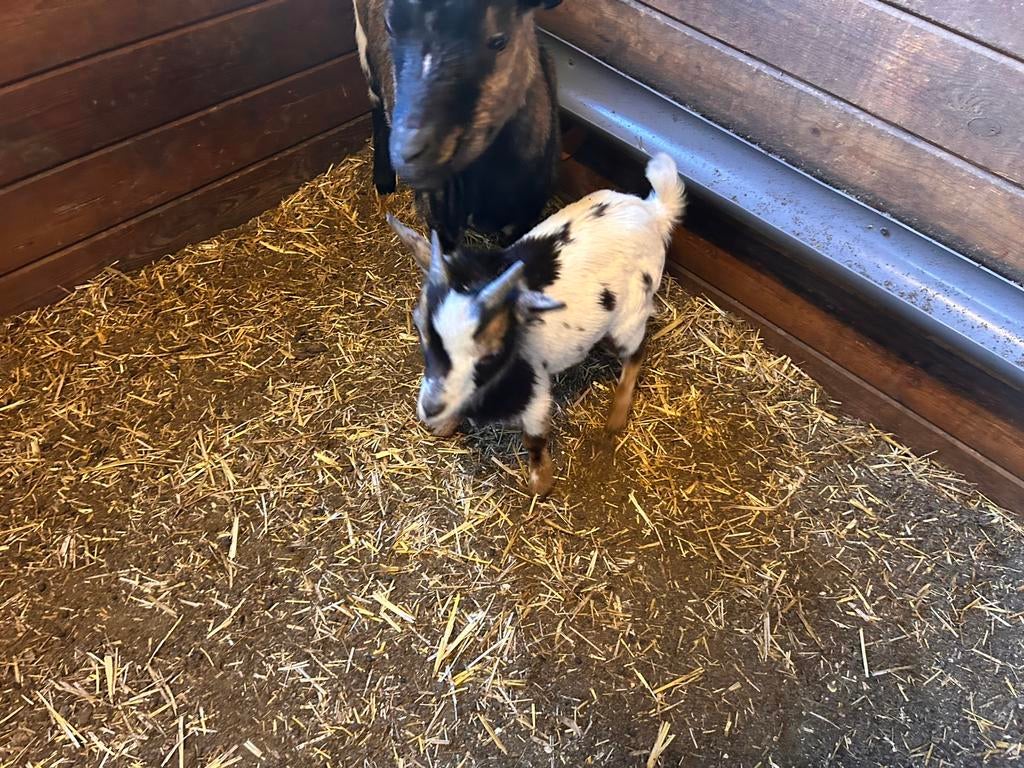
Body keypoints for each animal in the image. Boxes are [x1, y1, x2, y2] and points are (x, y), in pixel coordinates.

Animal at [353, 0, 563, 249]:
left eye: (499, 41)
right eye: (390, 27)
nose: (410, 151)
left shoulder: (524, 220)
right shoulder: (439, 220)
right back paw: (383, 180)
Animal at [389, 153, 686, 496]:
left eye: (491, 351)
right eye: (420, 326)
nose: (431, 407)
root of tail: (653, 212)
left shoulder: (537, 394)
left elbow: (534, 439)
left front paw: (541, 482)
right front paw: (444, 424)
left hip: (628, 318)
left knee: (636, 351)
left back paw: (617, 415)